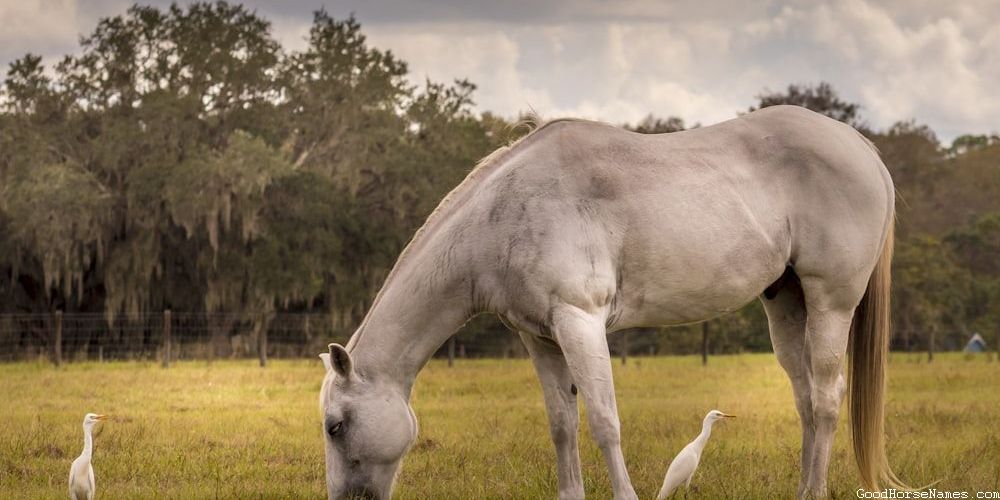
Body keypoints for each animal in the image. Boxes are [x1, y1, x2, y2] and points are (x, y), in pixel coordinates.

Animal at [319, 105, 904, 499]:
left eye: (335, 426)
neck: (506, 211)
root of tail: (863, 148)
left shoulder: (579, 322)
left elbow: (603, 419)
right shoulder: (540, 337)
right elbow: (562, 425)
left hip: (831, 303)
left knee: (826, 400)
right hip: (787, 304)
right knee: (805, 400)